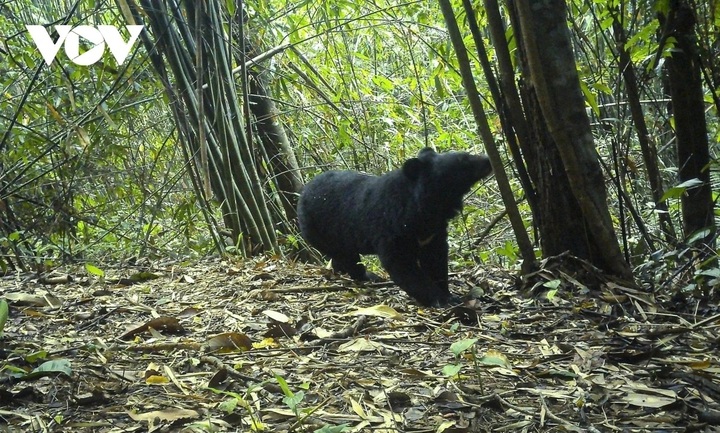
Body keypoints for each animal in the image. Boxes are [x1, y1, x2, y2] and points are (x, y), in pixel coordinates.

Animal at [297, 147, 492, 307]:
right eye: (463, 160)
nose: (488, 160)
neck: (428, 208)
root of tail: (303, 192)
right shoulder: (392, 227)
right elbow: (401, 264)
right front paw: (442, 300)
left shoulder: (433, 233)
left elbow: (435, 259)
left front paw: (449, 294)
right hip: (321, 229)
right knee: (347, 256)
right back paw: (368, 276)